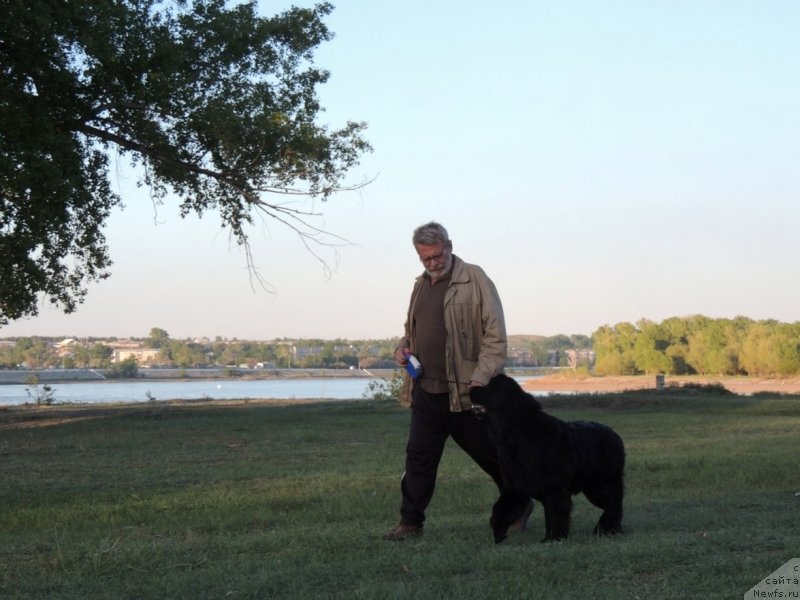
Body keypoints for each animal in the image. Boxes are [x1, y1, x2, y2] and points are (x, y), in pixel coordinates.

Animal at [468, 376, 624, 544]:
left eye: (490, 387)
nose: (471, 387)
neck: (517, 430)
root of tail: (615, 435)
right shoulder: (515, 487)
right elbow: (500, 509)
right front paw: (498, 533)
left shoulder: (554, 490)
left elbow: (554, 515)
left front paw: (553, 538)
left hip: (600, 485)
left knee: (613, 504)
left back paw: (606, 529)